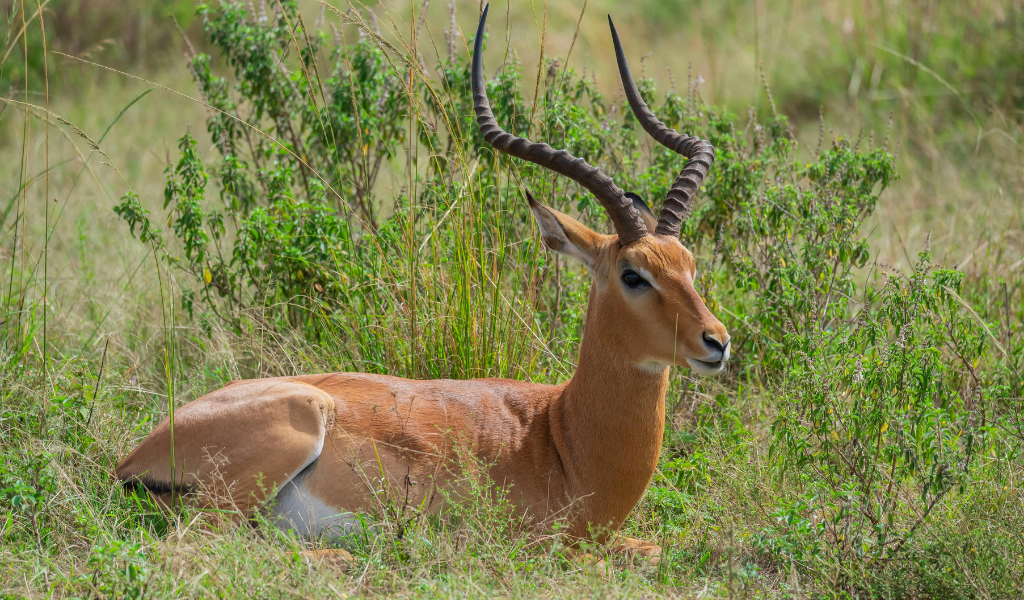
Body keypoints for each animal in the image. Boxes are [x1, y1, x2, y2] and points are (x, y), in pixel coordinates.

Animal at [115, 5, 729, 562]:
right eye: (633, 275)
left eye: (689, 264)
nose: (717, 342)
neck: (560, 439)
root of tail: (133, 458)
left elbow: (655, 548)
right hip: (281, 445)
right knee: (201, 545)